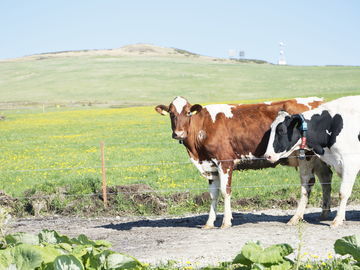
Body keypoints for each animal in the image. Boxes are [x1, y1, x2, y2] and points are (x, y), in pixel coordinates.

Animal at [155, 97, 332, 228]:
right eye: (171, 113)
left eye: (187, 113)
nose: (178, 133)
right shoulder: (210, 165)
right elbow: (213, 194)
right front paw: (209, 223)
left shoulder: (225, 161)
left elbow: (225, 191)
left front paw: (226, 222)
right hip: (318, 157)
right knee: (325, 178)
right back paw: (324, 213)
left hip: (306, 155)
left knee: (307, 183)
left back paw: (296, 218)